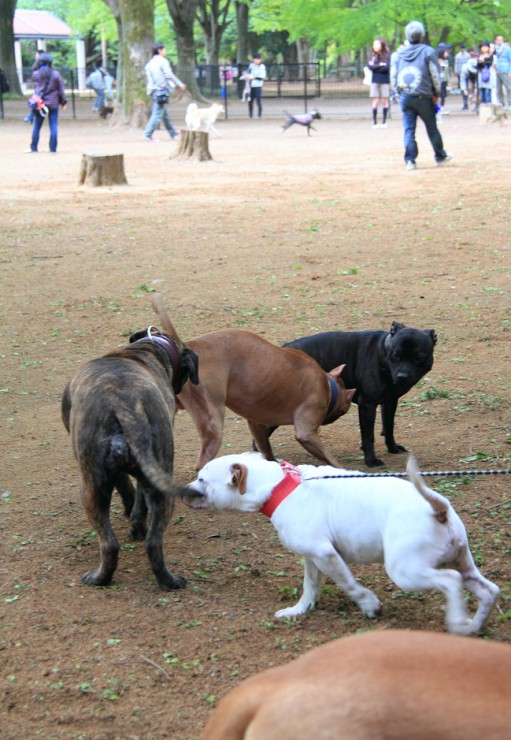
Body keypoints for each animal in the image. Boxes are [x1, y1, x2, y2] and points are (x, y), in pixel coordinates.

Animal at [61, 295, 199, 590]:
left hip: (91, 488)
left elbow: (126, 488)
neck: (145, 351)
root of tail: (124, 405)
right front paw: (136, 524)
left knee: (109, 544)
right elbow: (138, 500)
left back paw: (99, 578)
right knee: (153, 545)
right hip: (158, 488)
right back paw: (168, 580)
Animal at [177, 328, 355, 470]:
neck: (329, 387)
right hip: (213, 426)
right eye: (345, 410)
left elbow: (266, 450)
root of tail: (190, 346)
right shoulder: (306, 433)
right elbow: (329, 457)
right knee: (202, 465)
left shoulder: (256, 425)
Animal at [184, 452, 499, 635]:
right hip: (462, 561)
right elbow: (310, 587)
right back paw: (473, 627)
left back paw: (456, 623)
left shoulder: (326, 555)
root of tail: (438, 509)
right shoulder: (312, 557)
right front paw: (299, 610)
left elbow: (350, 585)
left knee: (451, 582)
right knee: (488, 591)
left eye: (202, 479)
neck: (279, 485)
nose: (182, 491)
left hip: (406, 572)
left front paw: (370, 606)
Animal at [267, 322, 437, 467]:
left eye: (418, 358)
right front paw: (371, 461)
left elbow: (389, 426)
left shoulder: (390, 402)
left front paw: (392, 448)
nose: (402, 376)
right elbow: (368, 436)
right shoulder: (368, 405)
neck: (383, 351)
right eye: (395, 355)